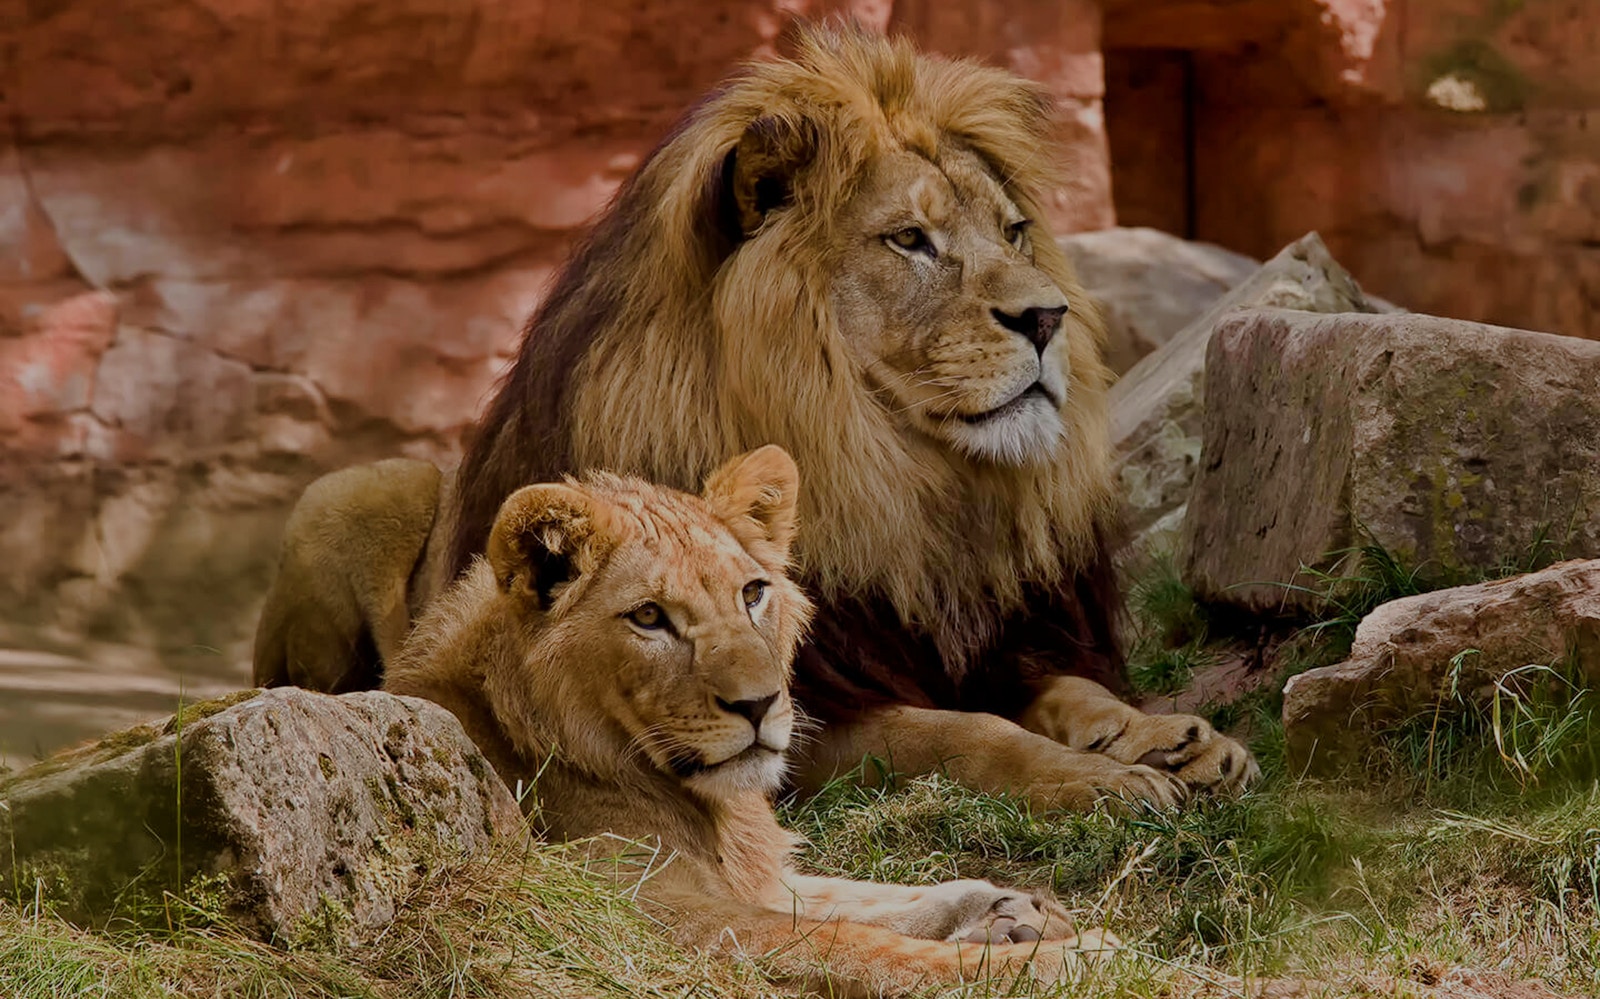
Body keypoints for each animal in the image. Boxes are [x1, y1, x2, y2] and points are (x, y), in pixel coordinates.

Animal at [255, 22, 1256, 811]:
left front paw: (1167, 736)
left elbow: (1071, 691)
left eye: (1013, 232)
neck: (898, 484)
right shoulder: (792, 715)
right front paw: (1104, 779)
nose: (1049, 318)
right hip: (354, 489)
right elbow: (967, 733)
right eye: (910, 239)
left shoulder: (987, 637)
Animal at [384, 445, 1117, 994]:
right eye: (649, 617)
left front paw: (1009, 908)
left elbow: (857, 896)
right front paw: (1065, 959)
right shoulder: (637, 915)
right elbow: (850, 941)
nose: (761, 703)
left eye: (752, 593)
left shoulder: (750, 877)